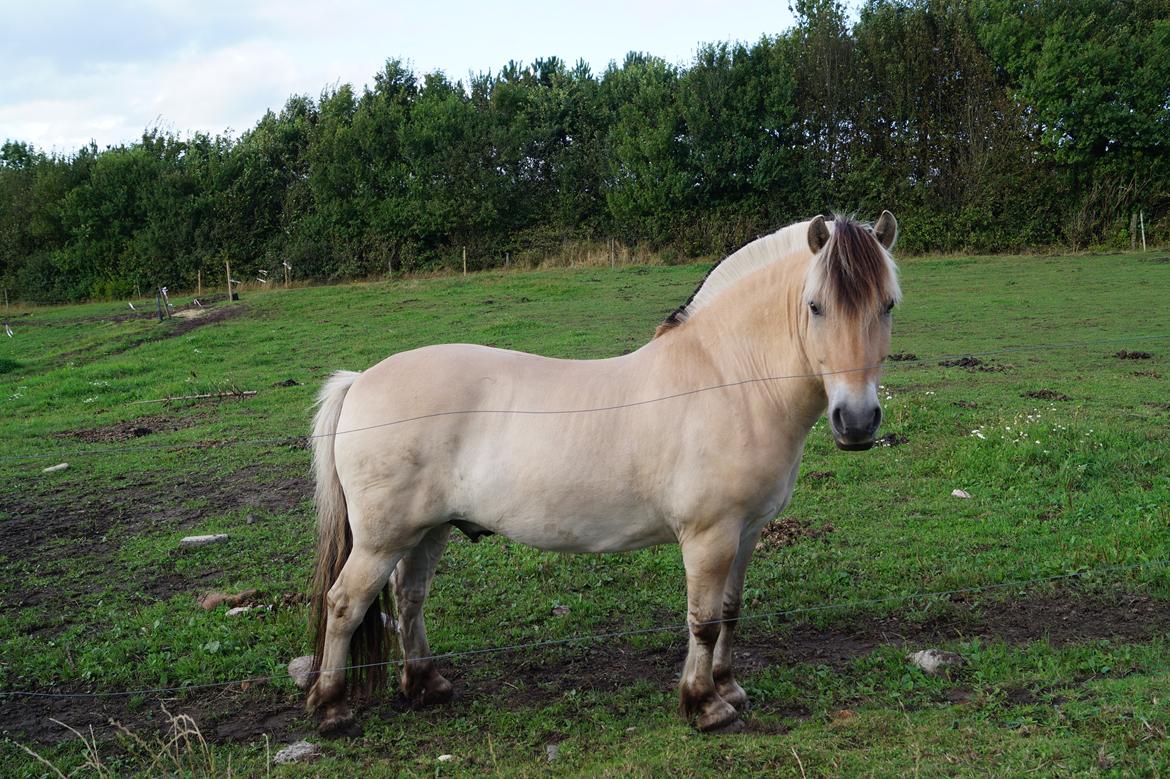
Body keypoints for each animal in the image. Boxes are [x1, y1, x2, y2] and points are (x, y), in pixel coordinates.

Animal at [306, 214, 898, 734]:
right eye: (815, 306)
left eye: (889, 304)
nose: (857, 420)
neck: (729, 380)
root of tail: (360, 381)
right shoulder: (709, 536)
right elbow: (703, 620)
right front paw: (704, 705)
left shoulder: (746, 532)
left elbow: (730, 611)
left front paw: (729, 688)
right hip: (382, 540)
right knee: (345, 604)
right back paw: (331, 707)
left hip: (427, 531)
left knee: (410, 597)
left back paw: (427, 684)